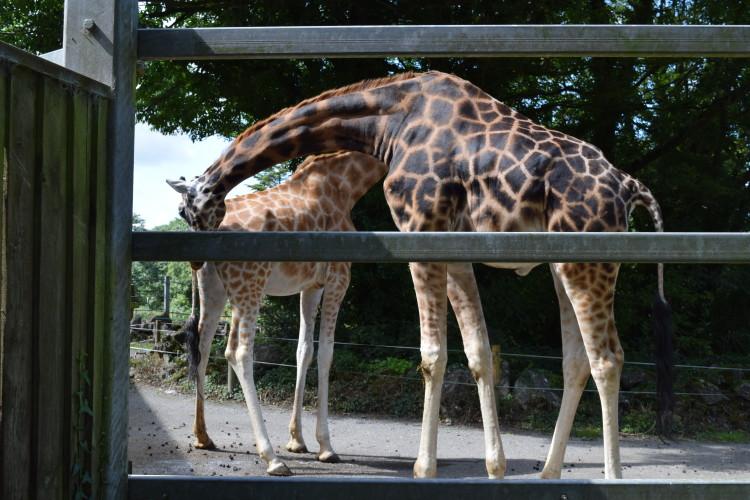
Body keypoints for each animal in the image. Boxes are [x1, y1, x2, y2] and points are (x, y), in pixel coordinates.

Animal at [174, 151, 390, 476]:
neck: (346, 186)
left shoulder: (311, 285)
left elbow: (304, 351)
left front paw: (297, 440)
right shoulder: (339, 276)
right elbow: (326, 353)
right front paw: (326, 447)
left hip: (214, 289)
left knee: (203, 347)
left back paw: (203, 437)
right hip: (249, 285)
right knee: (237, 352)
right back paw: (272, 458)